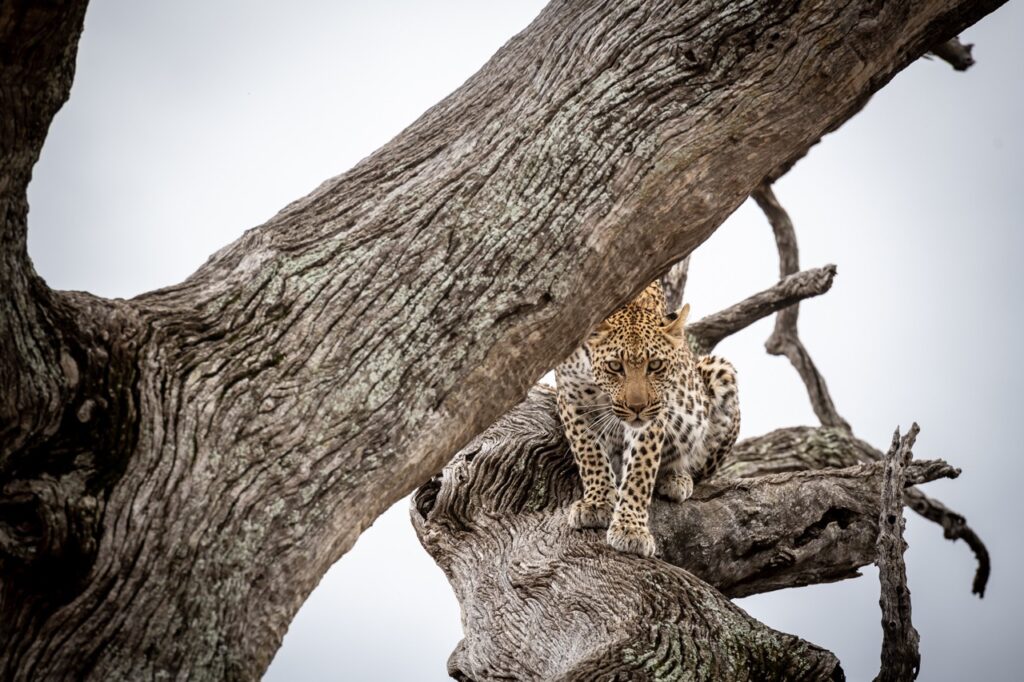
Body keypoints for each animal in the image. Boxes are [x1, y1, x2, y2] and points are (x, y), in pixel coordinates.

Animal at [555, 280, 740, 557]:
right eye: (615, 366)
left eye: (655, 365)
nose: (637, 407)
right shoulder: (571, 399)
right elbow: (589, 453)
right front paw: (596, 503)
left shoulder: (653, 415)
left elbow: (640, 470)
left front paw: (630, 529)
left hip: (720, 373)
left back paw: (677, 478)